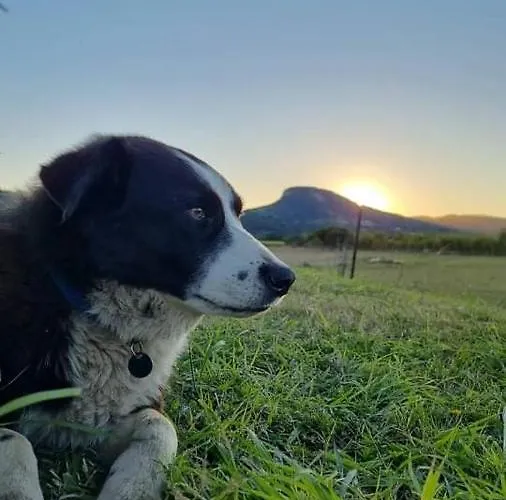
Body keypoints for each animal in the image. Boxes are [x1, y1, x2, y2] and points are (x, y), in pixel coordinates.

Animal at [0, 135, 295, 500]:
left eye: (238, 215)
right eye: (197, 213)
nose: (285, 279)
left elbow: (160, 427)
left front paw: (132, 488)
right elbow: (14, 442)